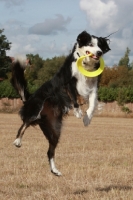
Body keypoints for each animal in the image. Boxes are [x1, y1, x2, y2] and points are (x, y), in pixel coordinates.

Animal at [10, 30, 110, 176]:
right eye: (91, 44)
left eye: (100, 46)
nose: (99, 53)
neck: (86, 65)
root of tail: (30, 97)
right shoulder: (68, 83)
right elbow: (74, 98)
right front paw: (78, 112)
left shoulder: (93, 88)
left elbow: (92, 104)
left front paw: (87, 119)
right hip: (37, 108)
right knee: (25, 123)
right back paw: (17, 141)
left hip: (55, 129)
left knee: (49, 151)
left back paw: (55, 170)